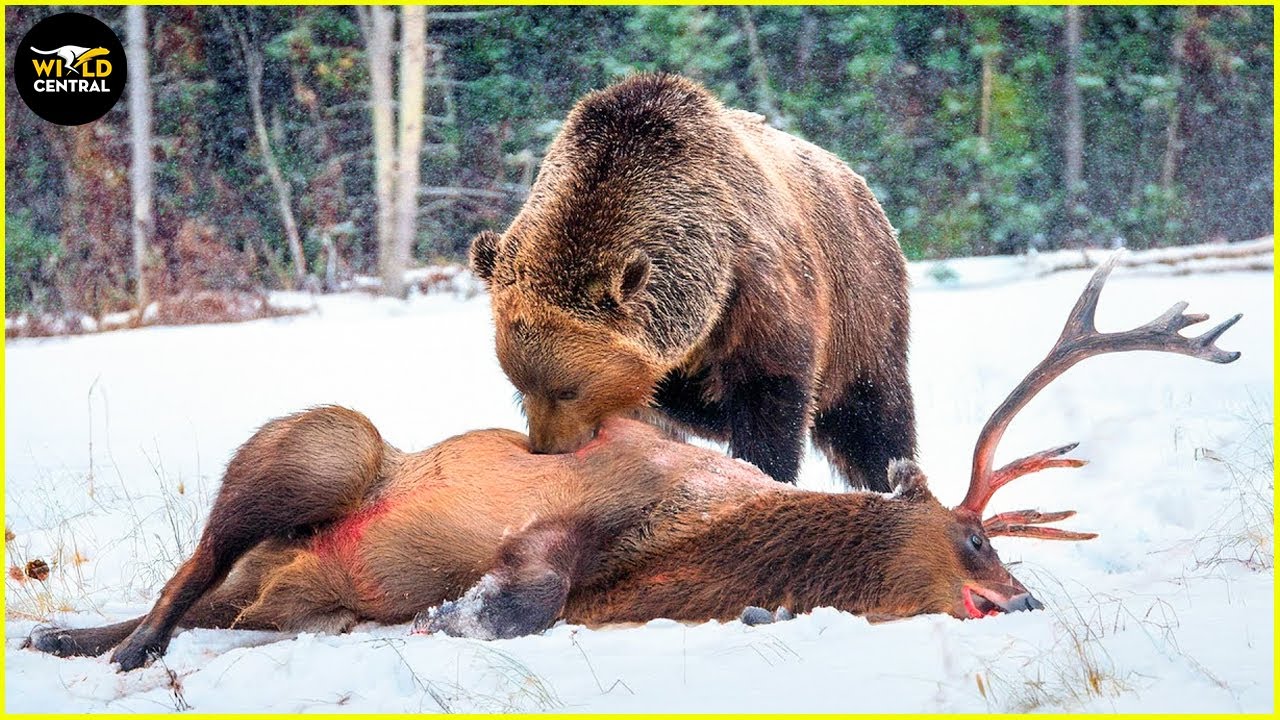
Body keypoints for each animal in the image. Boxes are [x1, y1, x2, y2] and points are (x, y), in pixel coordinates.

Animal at [469, 73, 915, 491]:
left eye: (569, 389)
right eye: (518, 385)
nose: (548, 448)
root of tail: (857, 182)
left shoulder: (753, 288)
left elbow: (770, 389)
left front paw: (762, 470)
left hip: (863, 308)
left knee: (871, 417)